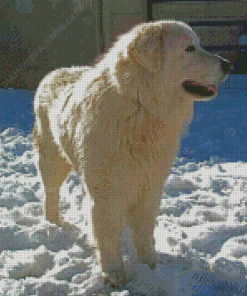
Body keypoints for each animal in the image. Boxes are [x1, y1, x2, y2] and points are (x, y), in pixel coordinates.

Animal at [33, 20, 232, 286]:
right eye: (189, 48)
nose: (228, 64)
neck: (141, 106)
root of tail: (54, 73)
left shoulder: (149, 187)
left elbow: (144, 233)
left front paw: (149, 267)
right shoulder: (106, 193)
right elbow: (108, 235)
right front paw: (114, 274)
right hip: (52, 160)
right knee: (51, 193)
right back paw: (53, 224)